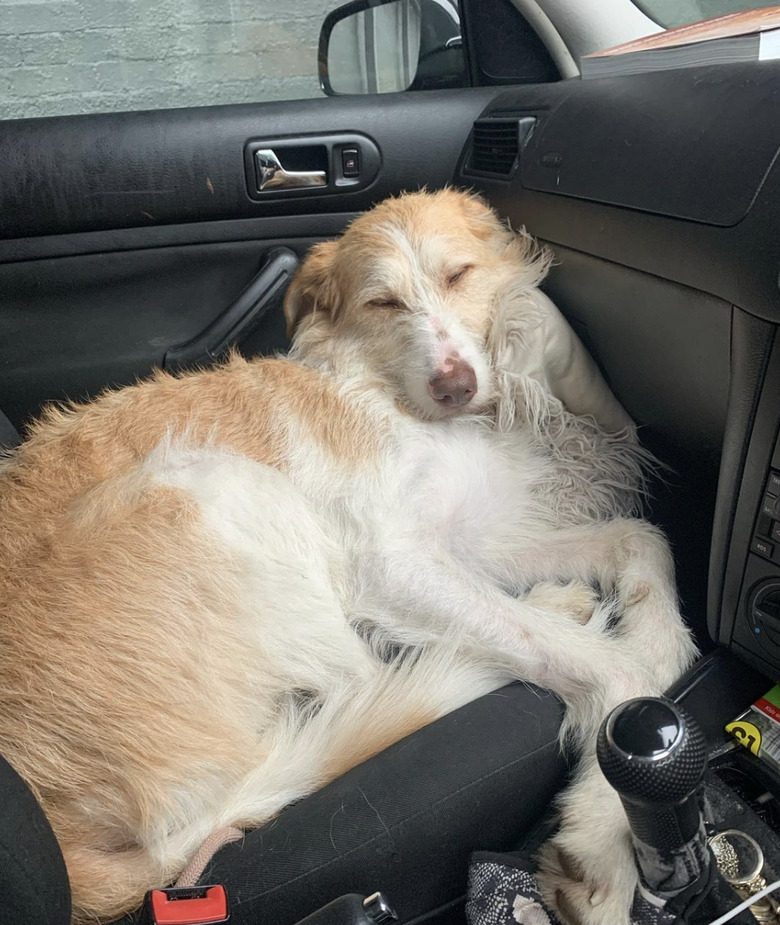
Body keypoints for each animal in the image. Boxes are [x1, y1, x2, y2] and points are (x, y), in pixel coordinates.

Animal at [0, 189, 696, 924]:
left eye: (459, 275)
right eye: (382, 302)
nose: (455, 385)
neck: (385, 387)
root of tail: (73, 858)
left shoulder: (463, 539)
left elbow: (640, 538)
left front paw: (661, 643)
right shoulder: (390, 563)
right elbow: (606, 668)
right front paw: (602, 831)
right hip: (217, 485)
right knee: (373, 674)